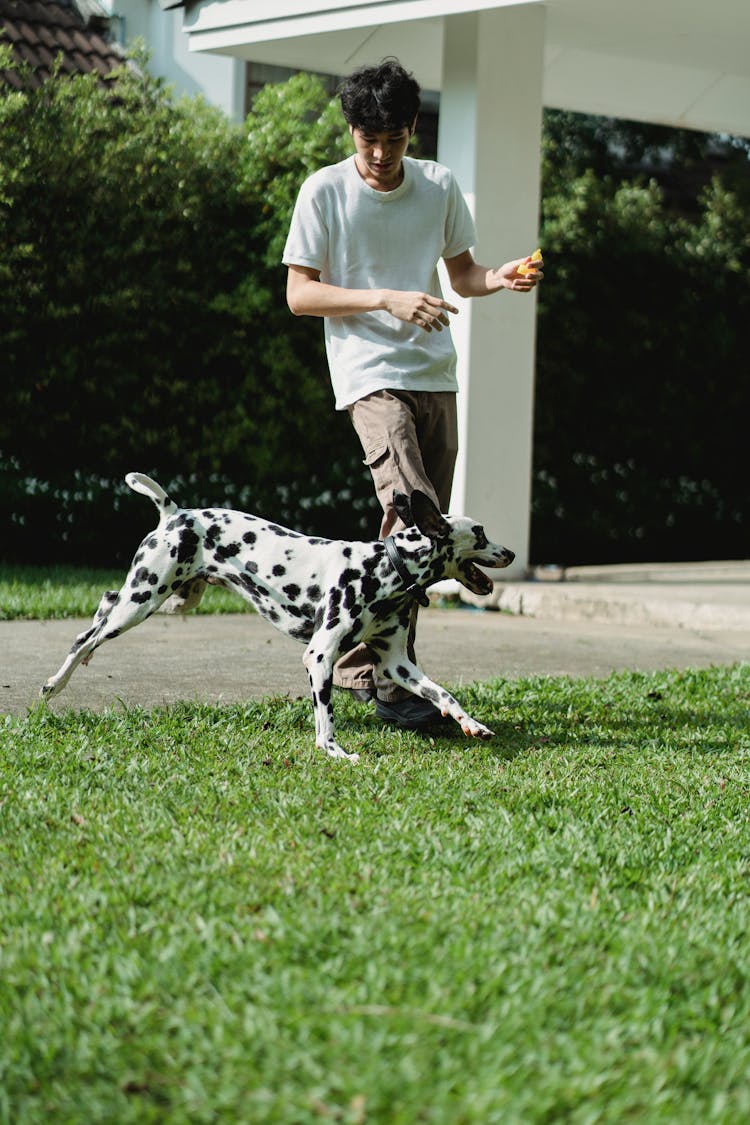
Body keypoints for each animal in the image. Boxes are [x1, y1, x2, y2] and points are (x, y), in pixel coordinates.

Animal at [41, 470, 517, 760]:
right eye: (480, 533)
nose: (511, 552)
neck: (384, 568)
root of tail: (174, 513)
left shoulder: (396, 663)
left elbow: (443, 695)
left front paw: (471, 724)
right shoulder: (320, 657)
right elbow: (325, 719)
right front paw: (334, 752)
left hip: (169, 598)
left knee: (103, 605)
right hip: (143, 600)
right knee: (86, 635)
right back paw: (55, 683)